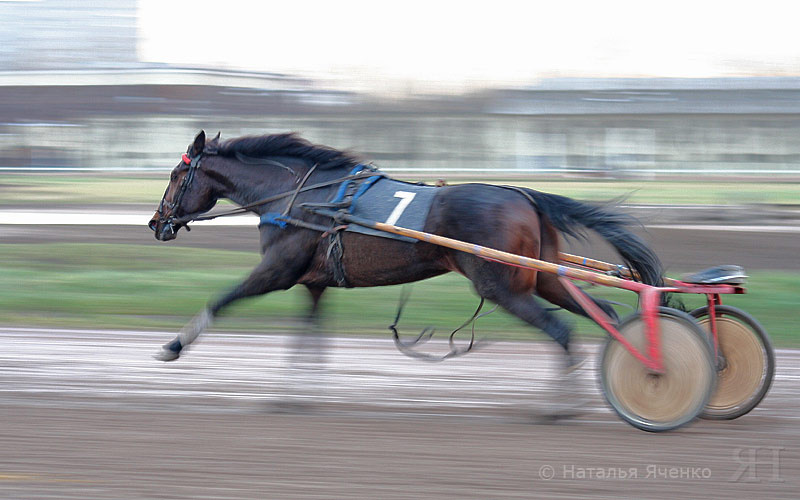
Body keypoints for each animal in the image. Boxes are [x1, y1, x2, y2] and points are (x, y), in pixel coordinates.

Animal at [149, 131, 665, 376]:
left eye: (175, 176)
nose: (156, 223)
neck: (298, 196)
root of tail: (525, 196)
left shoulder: (277, 270)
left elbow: (222, 299)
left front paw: (173, 345)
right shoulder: (314, 282)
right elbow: (308, 339)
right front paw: (296, 394)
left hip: (500, 283)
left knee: (561, 330)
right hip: (543, 276)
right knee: (602, 310)